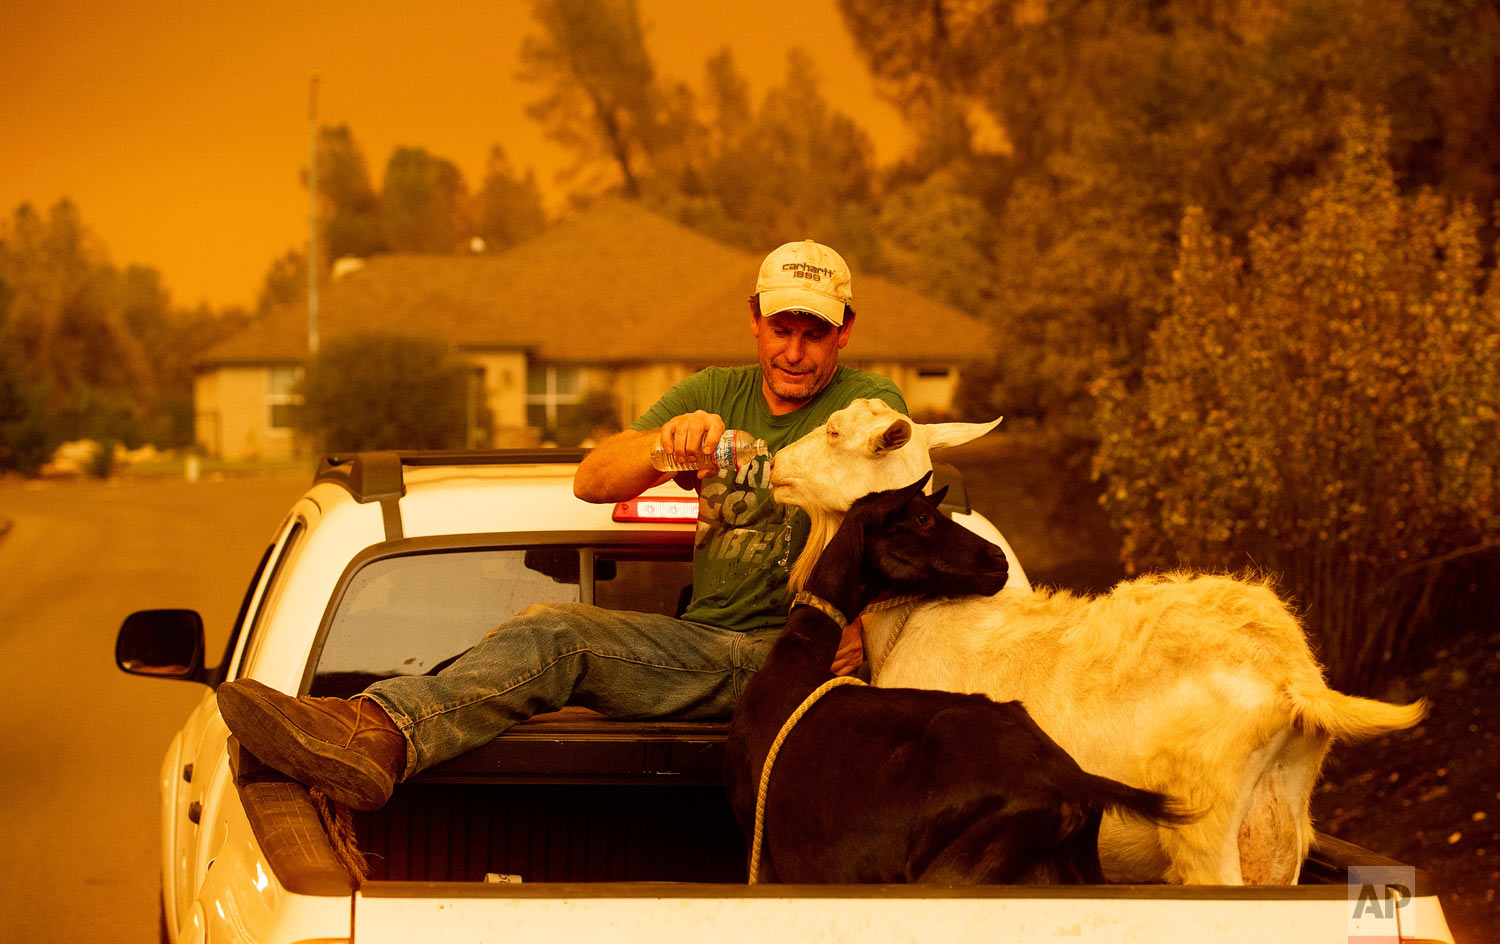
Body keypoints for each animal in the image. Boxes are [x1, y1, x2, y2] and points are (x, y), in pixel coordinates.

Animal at [723, 477, 1182, 882]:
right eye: (923, 517)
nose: (998, 559)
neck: (796, 656)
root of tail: (1067, 777)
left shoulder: (763, 857)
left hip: (956, 869)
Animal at [774, 396, 1428, 882]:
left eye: (835, 431)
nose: (777, 466)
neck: (926, 616)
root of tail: (1291, 680)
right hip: (1279, 831)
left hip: (1207, 826)